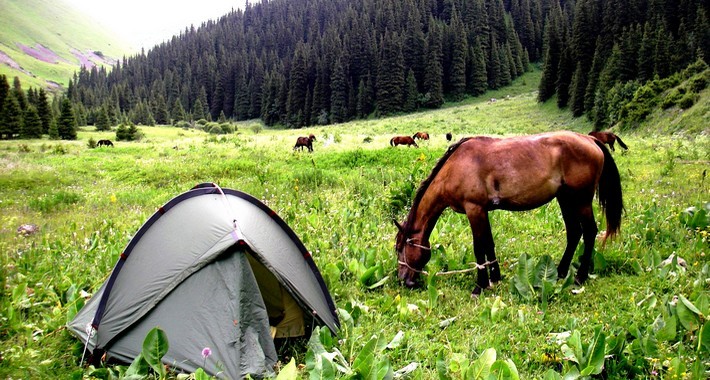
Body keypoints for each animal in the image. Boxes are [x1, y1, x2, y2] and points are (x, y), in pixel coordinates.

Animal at [394, 132, 624, 296]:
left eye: (399, 249)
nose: (403, 280)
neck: (455, 167)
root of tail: (589, 139)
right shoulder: (483, 211)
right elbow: (489, 243)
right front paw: (495, 277)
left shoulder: (474, 209)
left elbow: (479, 248)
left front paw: (480, 286)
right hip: (565, 199)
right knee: (574, 232)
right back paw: (560, 272)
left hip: (581, 200)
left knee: (590, 231)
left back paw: (580, 277)